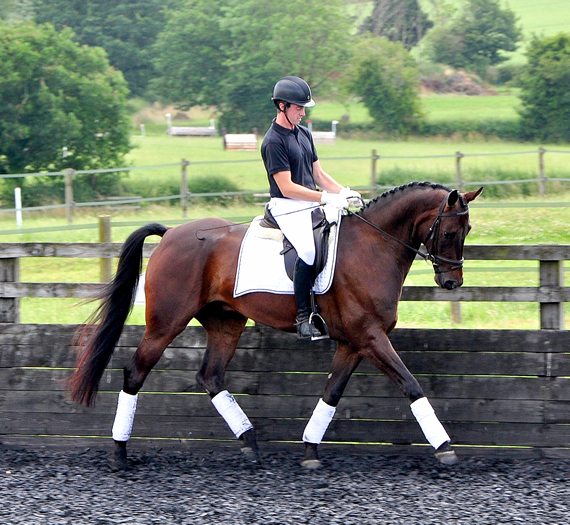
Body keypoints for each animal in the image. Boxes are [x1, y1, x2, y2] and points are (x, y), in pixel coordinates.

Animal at [69, 181, 482, 470]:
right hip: (167, 321)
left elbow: (331, 393)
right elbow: (411, 384)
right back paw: (120, 453)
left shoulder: (353, 343)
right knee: (135, 371)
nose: (452, 282)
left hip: (226, 322)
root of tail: (171, 233)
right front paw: (445, 448)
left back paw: (250, 442)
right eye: (449, 233)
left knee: (211, 376)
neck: (373, 244)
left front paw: (311, 449)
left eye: (467, 231)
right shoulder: (370, 337)